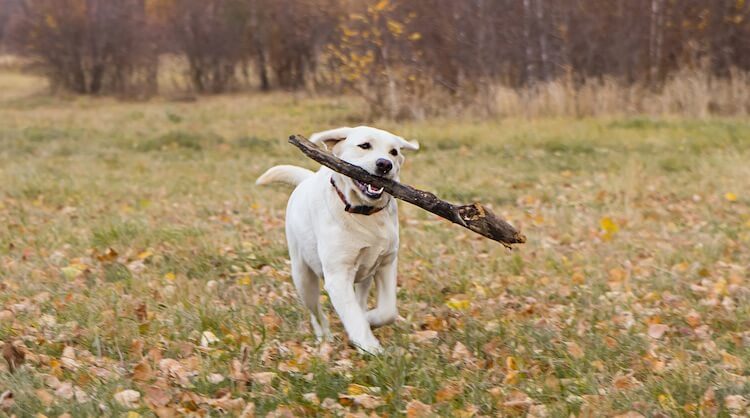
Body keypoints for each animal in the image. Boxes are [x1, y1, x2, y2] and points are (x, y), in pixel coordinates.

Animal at [258, 125, 424, 352]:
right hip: (303, 277)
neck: (363, 212)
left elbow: (387, 311)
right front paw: (370, 346)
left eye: (394, 152)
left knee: (360, 299)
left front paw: (370, 320)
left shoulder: (387, 263)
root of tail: (306, 179)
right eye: (364, 145)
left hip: (365, 277)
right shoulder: (338, 276)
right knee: (316, 314)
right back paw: (324, 337)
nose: (385, 164)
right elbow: (353, 316)